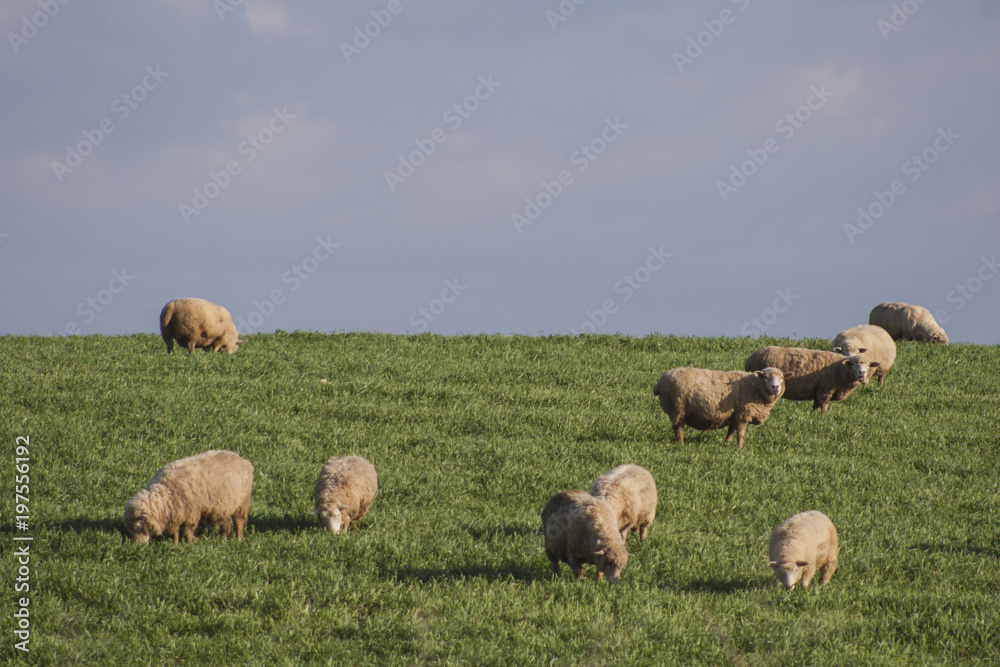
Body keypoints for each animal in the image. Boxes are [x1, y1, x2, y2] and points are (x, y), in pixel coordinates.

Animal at [123, 449, 254, 544]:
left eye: (139, 526)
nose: (139, 545)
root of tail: (243, 460)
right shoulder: (174, 513)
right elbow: (175, 531)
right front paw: (175, 544)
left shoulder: (192, 512)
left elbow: (188, 530)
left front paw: (189, 543)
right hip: (223, 506)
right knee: (226, 523)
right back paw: (222, 538)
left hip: (242, 503)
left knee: (239, 521)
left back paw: (238, 539)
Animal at [652, 366, 789, 449]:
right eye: (766, 377)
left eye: (781, 378)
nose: (775, 387)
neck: (756, 387)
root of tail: (660, 382)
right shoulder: (743, 413)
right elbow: (740, 433)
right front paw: (739, 448)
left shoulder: (735, 414)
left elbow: (731, 431)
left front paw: (727, 444)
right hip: (678, 408)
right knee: (677, 428)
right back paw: (681, 444)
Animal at [744, 346, 878, 413]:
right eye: (854, 364)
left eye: (868, 365)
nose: (862, 373)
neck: (840, 369)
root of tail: (751, 358)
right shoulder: (825, 389)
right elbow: (823, 406)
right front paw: (824, 417)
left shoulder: (817, 391)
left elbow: (816, 406)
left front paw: (814, 417)